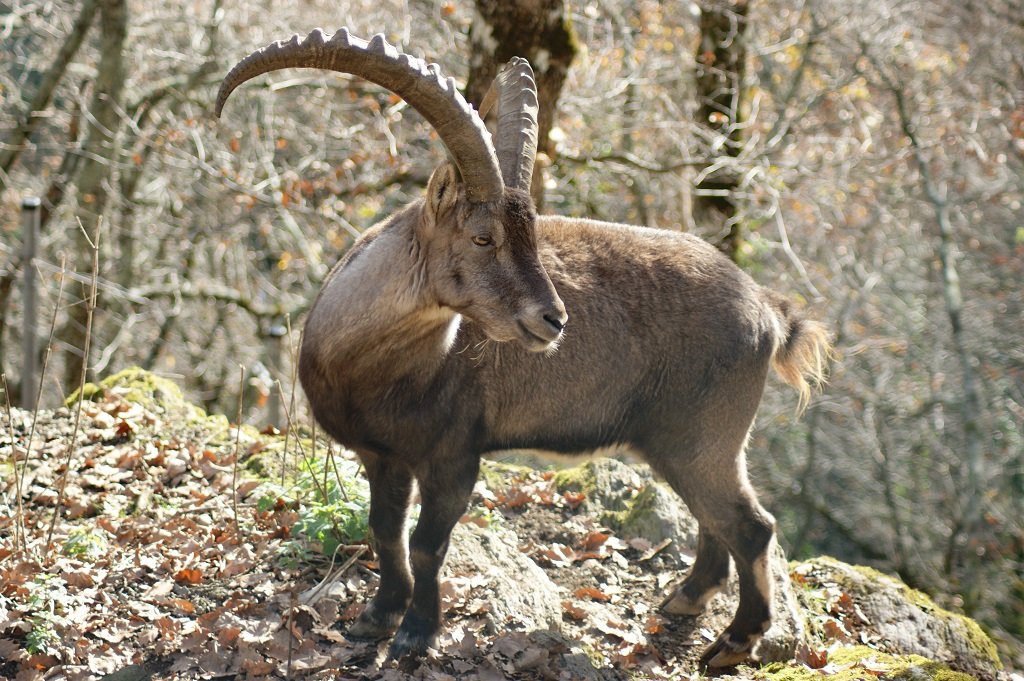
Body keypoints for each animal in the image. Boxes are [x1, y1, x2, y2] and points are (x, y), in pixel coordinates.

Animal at [216, 28, 831, 669]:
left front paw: (416, 633)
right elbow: (385, 532)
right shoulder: (383, 456)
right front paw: (375, 619)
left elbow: (427, 543)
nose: (554, 320)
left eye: (532, 234)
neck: (369, 366)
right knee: (716, 522)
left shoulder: (454, 455)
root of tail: (767, 309)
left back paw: (733, 642)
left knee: (752, 525)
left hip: (704, 438)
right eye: (483, 237)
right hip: (682, 445)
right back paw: (685, 601)